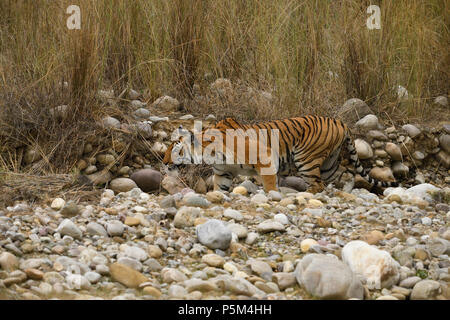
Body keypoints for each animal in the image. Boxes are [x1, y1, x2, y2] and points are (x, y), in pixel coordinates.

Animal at [162, 116, 398, 194]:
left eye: (175, 149)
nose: (163, 163)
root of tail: (339, 121)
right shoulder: (223, 174)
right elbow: (218, 190)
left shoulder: (265, 156)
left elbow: (269, 185)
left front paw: (273, 196)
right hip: (328, 164)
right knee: (345, 175)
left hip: (306, 158)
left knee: (317, 184)